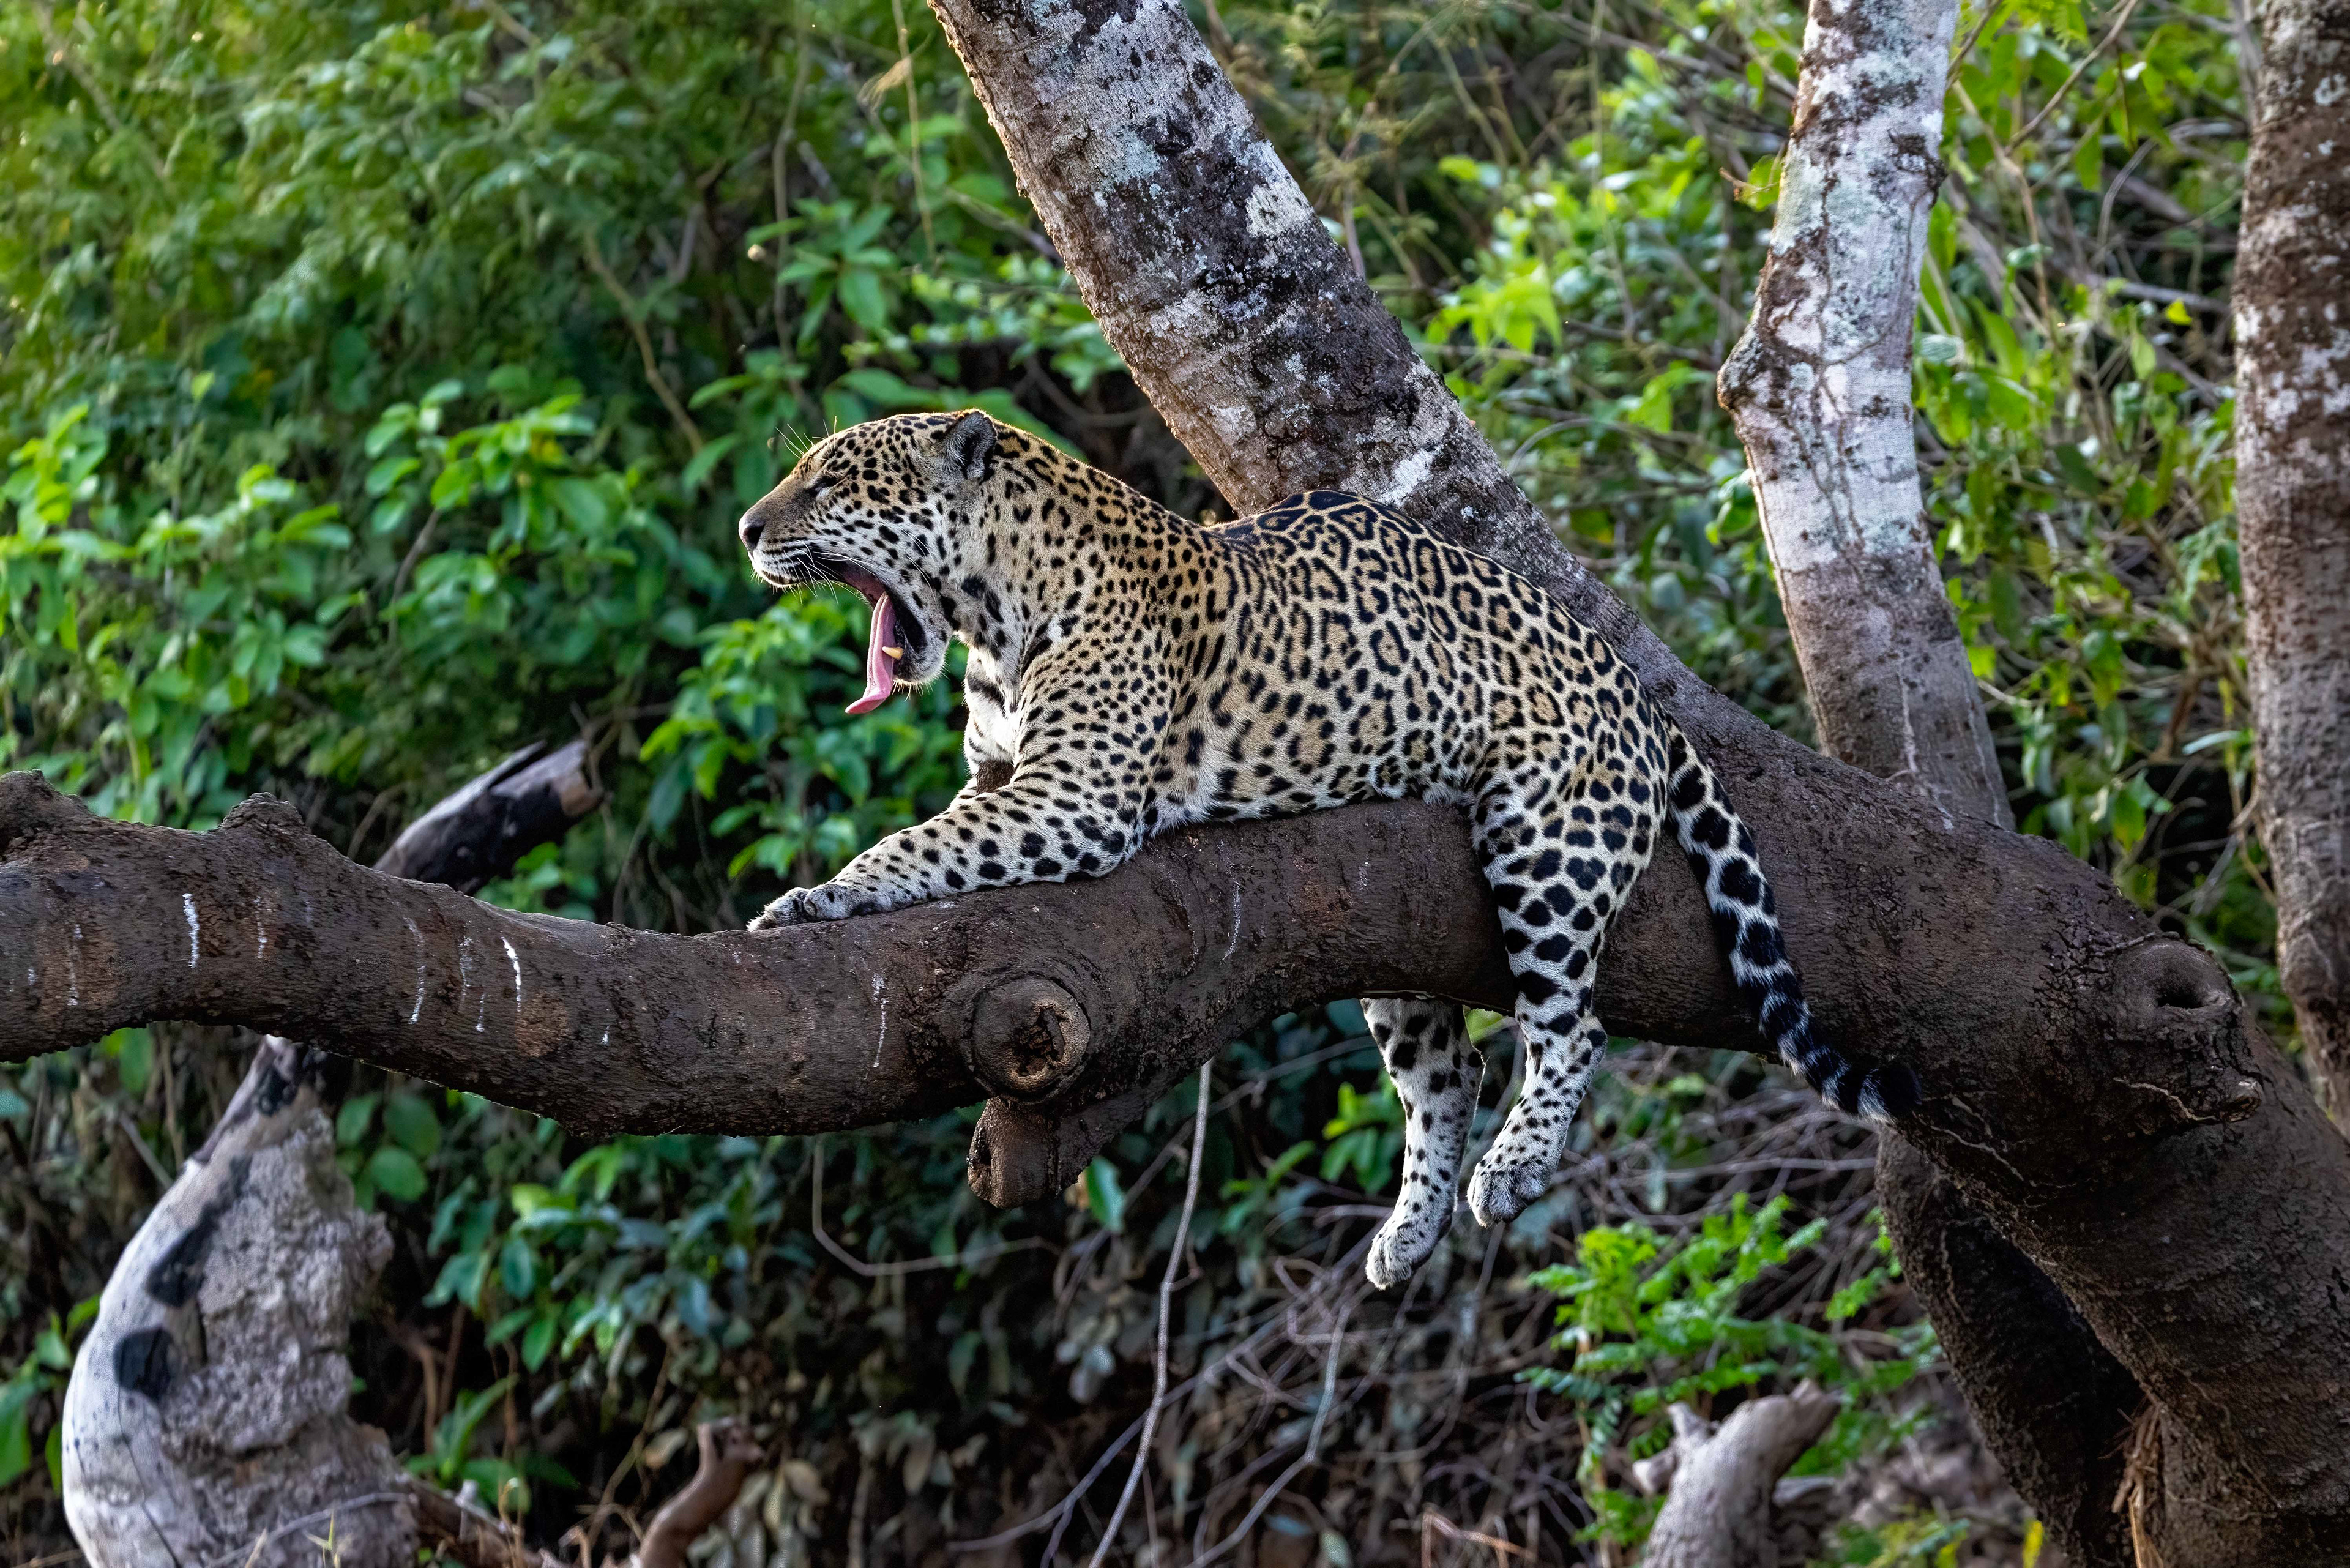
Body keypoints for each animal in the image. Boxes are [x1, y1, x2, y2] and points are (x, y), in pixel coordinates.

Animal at [737, 409, 1919, 1288]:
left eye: (829, 480)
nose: (749, 528)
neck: (993, 618)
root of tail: (1641, 693)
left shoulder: (1075, 797)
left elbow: (923, 840)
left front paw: (809, 900)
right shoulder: (1005, 778)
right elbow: (946, 825)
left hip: (1547, 845)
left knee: (1568, 1023)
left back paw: (1513, 1167)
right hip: (1394, 941)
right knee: (1449, 1069)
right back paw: (1407, 1233)